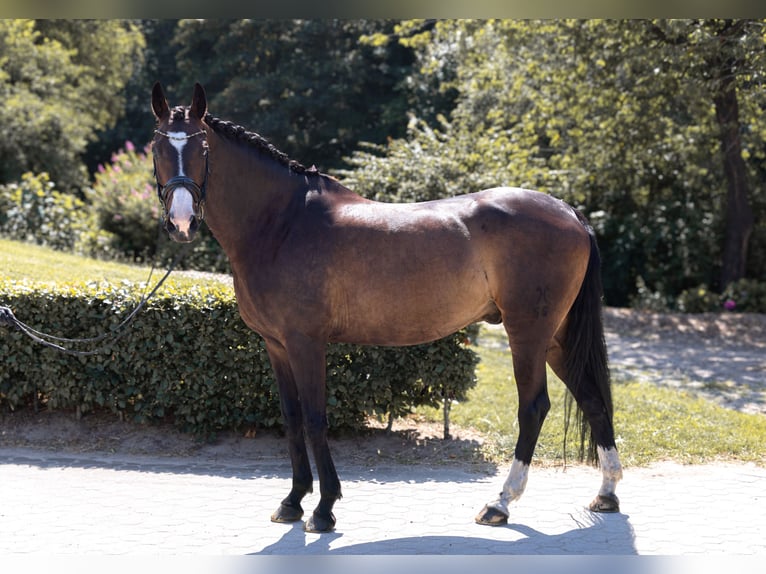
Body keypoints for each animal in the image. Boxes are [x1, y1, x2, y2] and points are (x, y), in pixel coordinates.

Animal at [150, 82, 623, 533]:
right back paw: (606, 494)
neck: (282, 223)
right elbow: (292, 417)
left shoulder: (306, 343)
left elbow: (316, 418)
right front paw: (292, 501)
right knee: (592, 397)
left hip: (527, 333)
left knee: (534, 407)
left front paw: (324, 509)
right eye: (157, 149)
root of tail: (569, 212)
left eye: (201, 149)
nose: (181, 222)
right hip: (556, 337)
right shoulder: (276, 345)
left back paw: (500, 503)